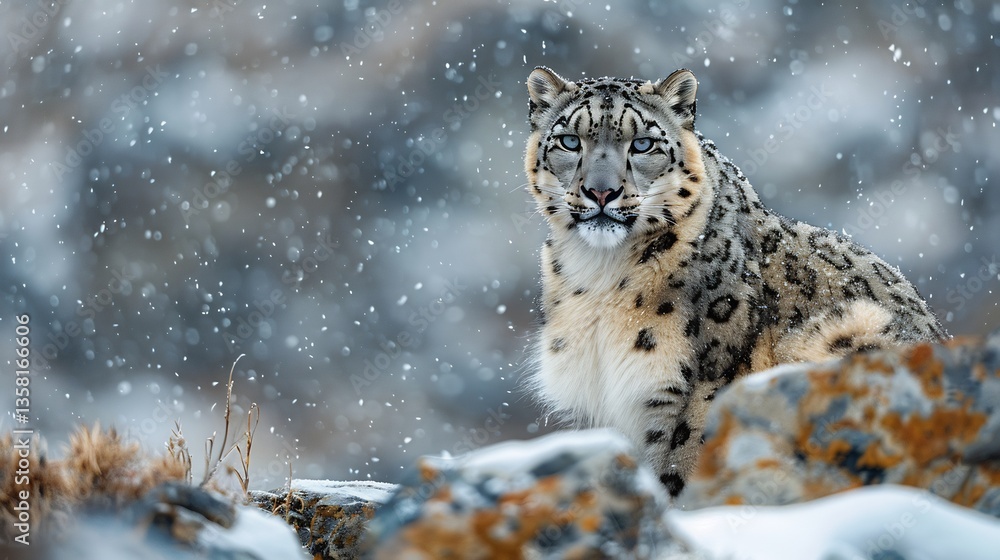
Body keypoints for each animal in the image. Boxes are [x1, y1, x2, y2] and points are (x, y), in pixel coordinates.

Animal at [523, 66, 947, 497]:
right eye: (570, 140)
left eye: (642, 144)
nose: (601, 191)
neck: (599, 275)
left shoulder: (702, 383)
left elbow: (682, 465)